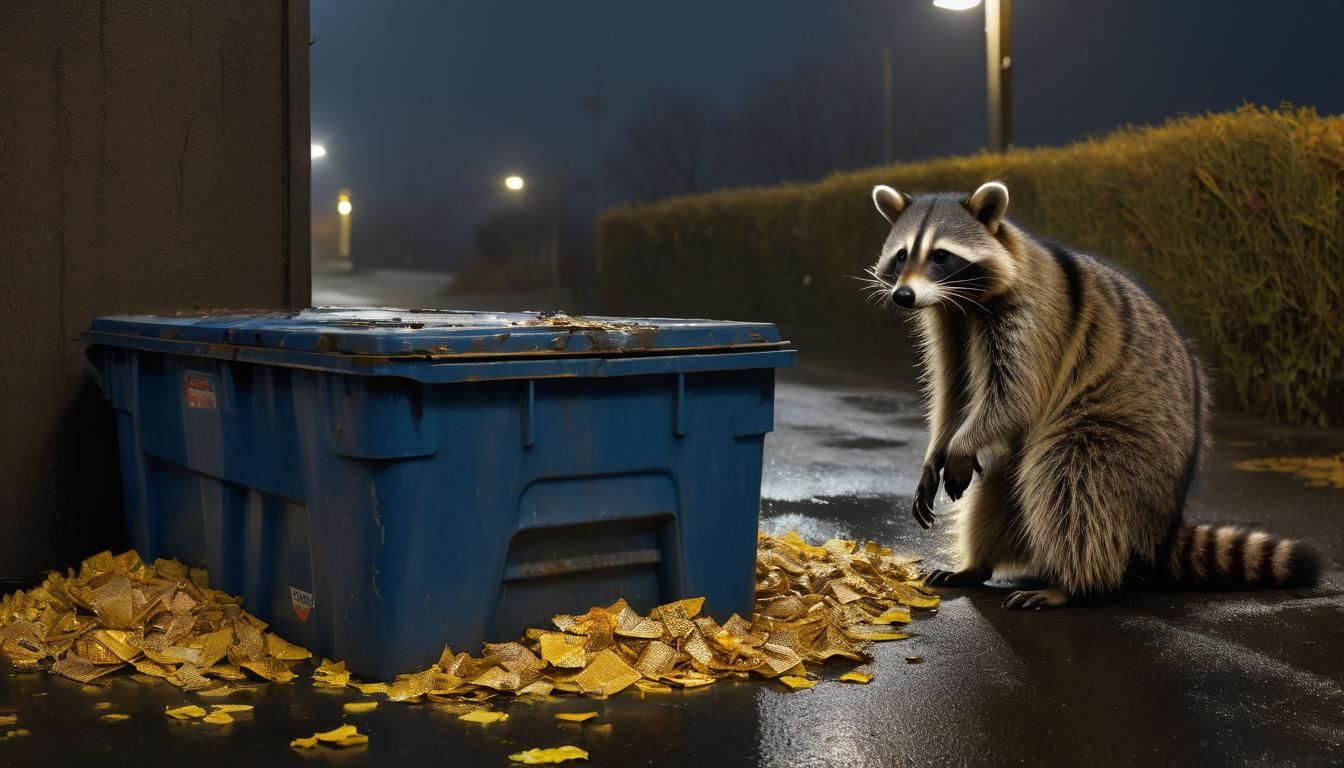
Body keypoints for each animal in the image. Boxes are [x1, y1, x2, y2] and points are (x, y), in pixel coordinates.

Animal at [866, 181, 1321, 608]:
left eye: (941, 256)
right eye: (902, 255)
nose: (903, 296)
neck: (967, 301)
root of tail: (1160, 526)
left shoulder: (1035, 318)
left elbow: (1015, 398)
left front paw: (962, 444)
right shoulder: (951, 324)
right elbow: (953, 393)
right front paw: (939, 448)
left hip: (1125, 442)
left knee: (1073, 483)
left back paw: (1074, 584)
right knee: (996, 495)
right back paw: (977, 566)